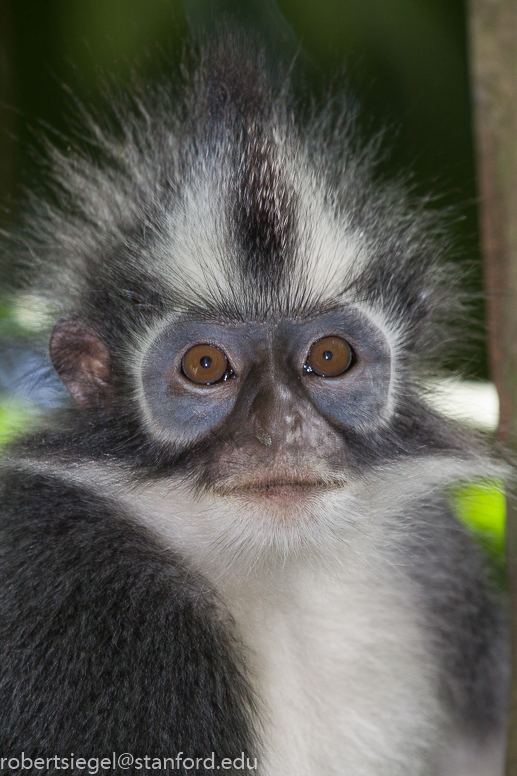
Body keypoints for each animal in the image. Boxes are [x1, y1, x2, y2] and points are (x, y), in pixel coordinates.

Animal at [0, 31, 509, 776]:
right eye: (205, 366)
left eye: (329, 357)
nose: (282, 428)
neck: (280, 577)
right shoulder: (79, 588)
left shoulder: (444, 575)